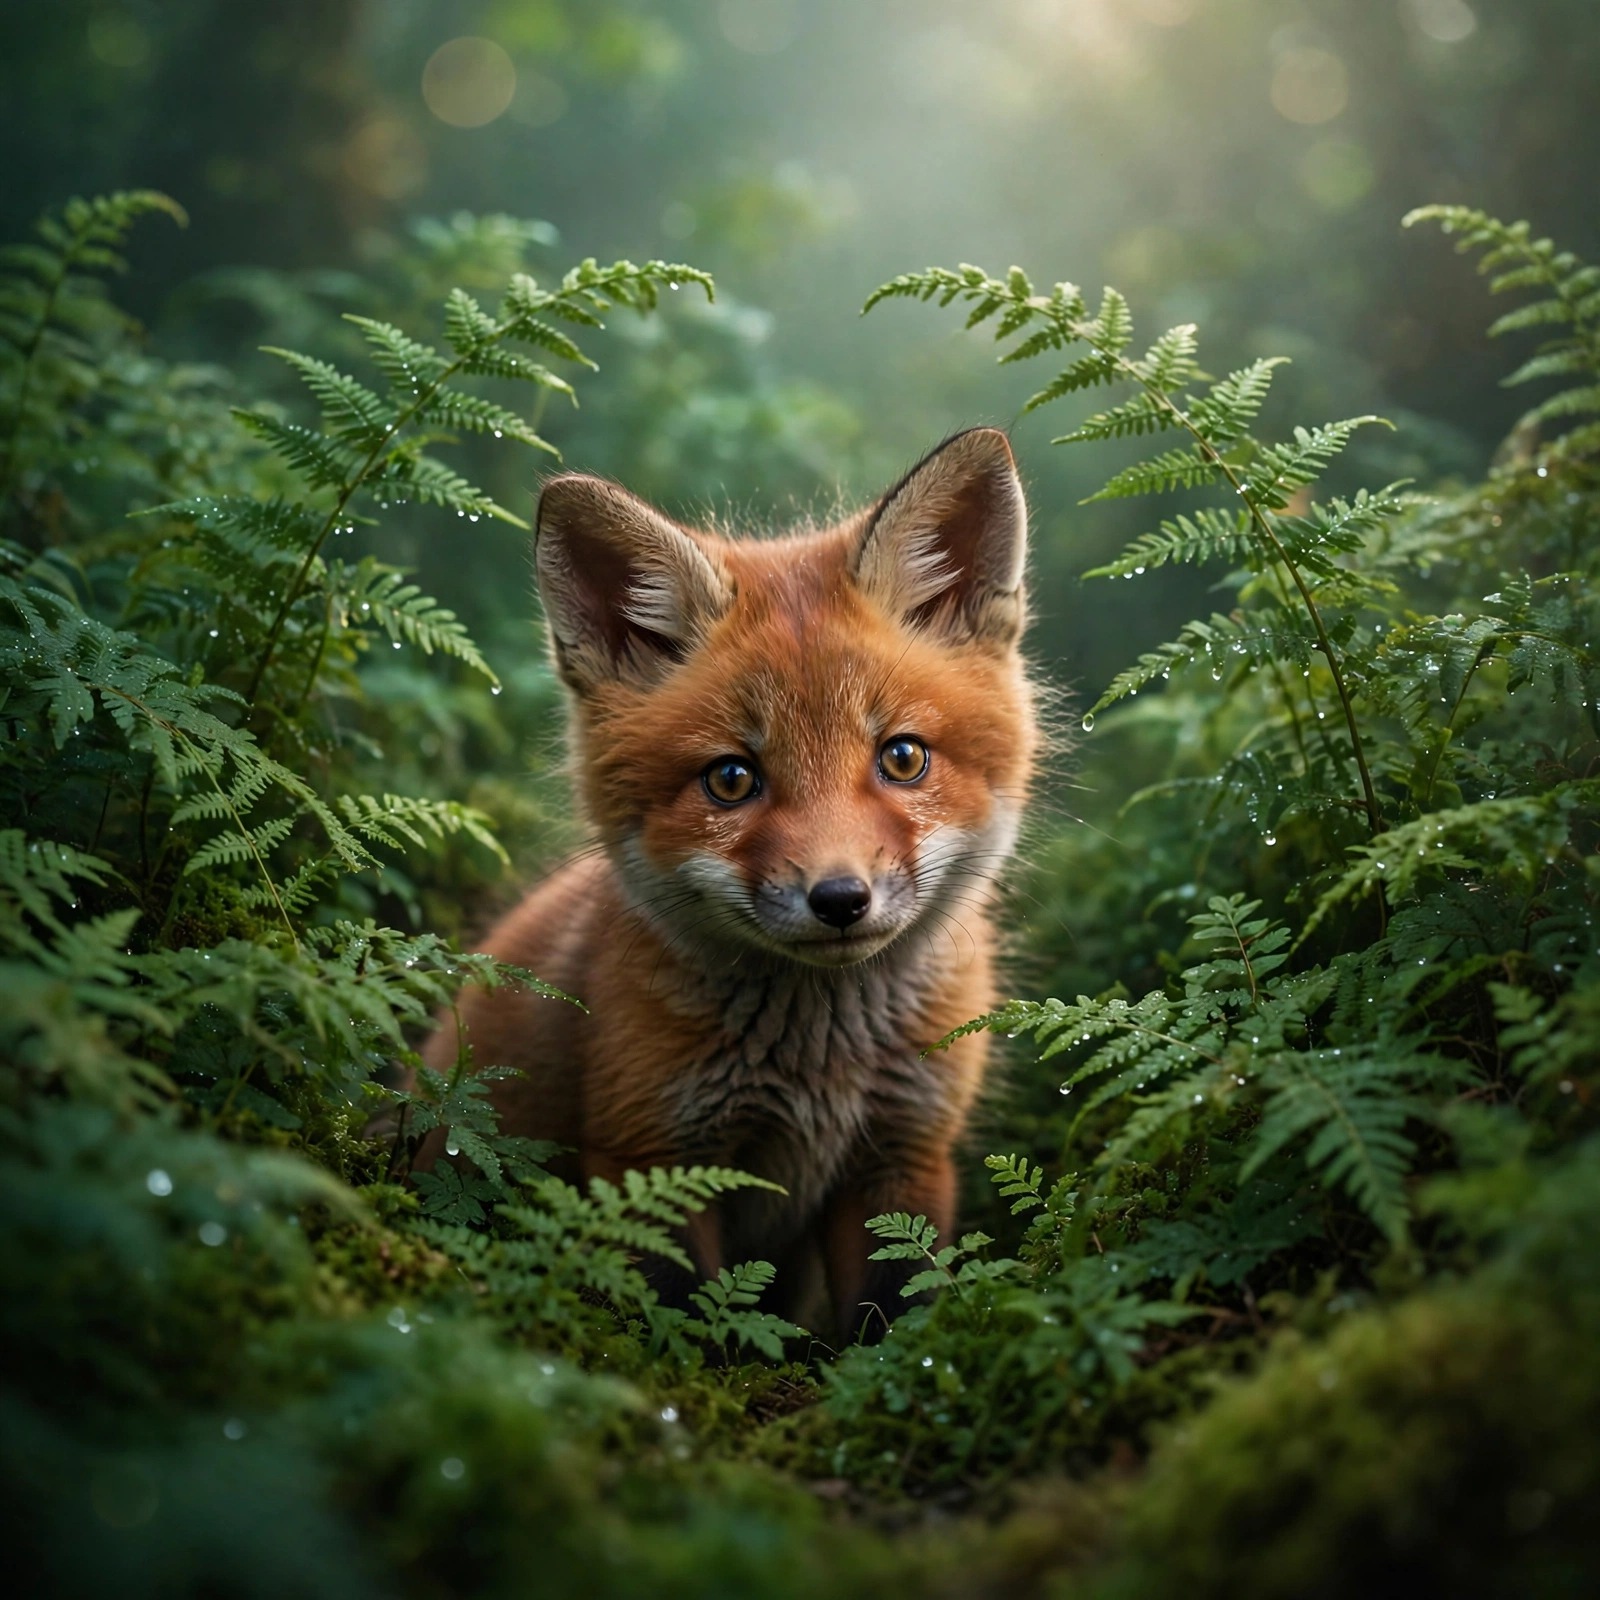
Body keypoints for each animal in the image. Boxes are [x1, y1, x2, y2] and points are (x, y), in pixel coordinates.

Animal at [422, 426, 1036, 1341]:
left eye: (902, 758)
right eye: (732, 780)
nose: (840, 899)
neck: (823, 1067)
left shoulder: (905, 1156)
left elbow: (891, 1323)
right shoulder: (649, 1157)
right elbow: (685, 1327)